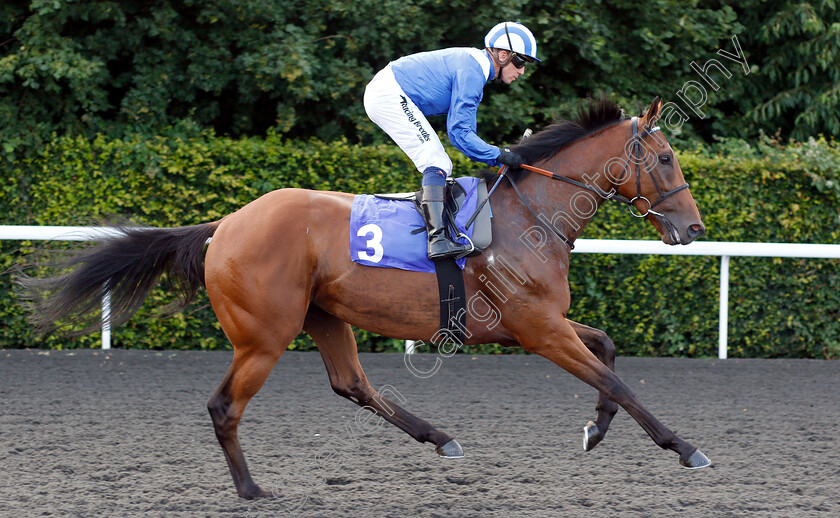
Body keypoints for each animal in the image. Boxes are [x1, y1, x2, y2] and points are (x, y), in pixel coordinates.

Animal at [18, 96, 708, 500]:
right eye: (666, 160)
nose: (695, 228)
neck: (528, 215)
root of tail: (226, 224)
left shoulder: (542, 322)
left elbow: (609, 350)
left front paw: (595, 430)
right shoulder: (537, 329)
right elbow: (615, 378)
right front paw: (684, 448)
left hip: (325, 316)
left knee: (352, 383)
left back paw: (439, 437)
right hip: (264, 336)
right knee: (223, 407)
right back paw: (252, 490)